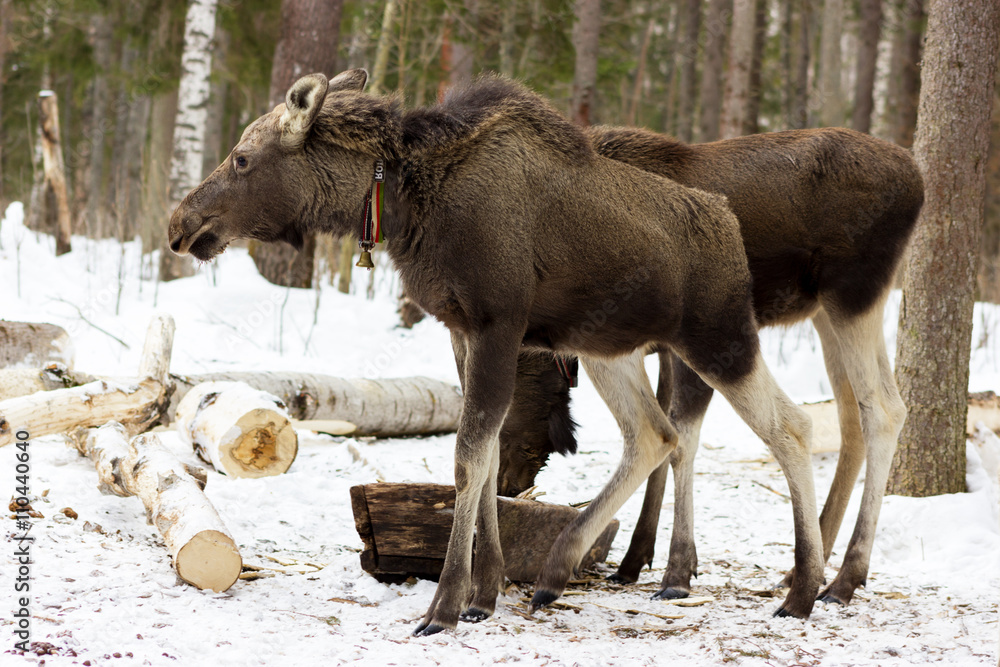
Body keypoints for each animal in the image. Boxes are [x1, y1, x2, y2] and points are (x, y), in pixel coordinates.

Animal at [168, 69, 827, 634]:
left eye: (243, 157)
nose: (180, 224)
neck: (405, 206)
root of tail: (730, 226)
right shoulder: (462, 329)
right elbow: (486, 459)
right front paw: (483, 595)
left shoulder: (497, 323)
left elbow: (467, 459)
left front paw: (444, 606)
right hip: (607, 349)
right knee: (654, 434)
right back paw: (558, 570)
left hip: (721, 337)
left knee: (792, 427)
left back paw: (803, 591)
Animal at [494, 124, 924, 607]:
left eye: (512, 400)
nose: (503, 485)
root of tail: (917, 177)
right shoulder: (661, 348)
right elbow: (665, 442)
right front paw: (636, 561)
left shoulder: (684, 343)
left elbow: (681, 441)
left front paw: (677, 571)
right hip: (823, 313)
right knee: (851, 418)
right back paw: (804, 568)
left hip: (853, 292)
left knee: (884, 411)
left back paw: (844, 578)